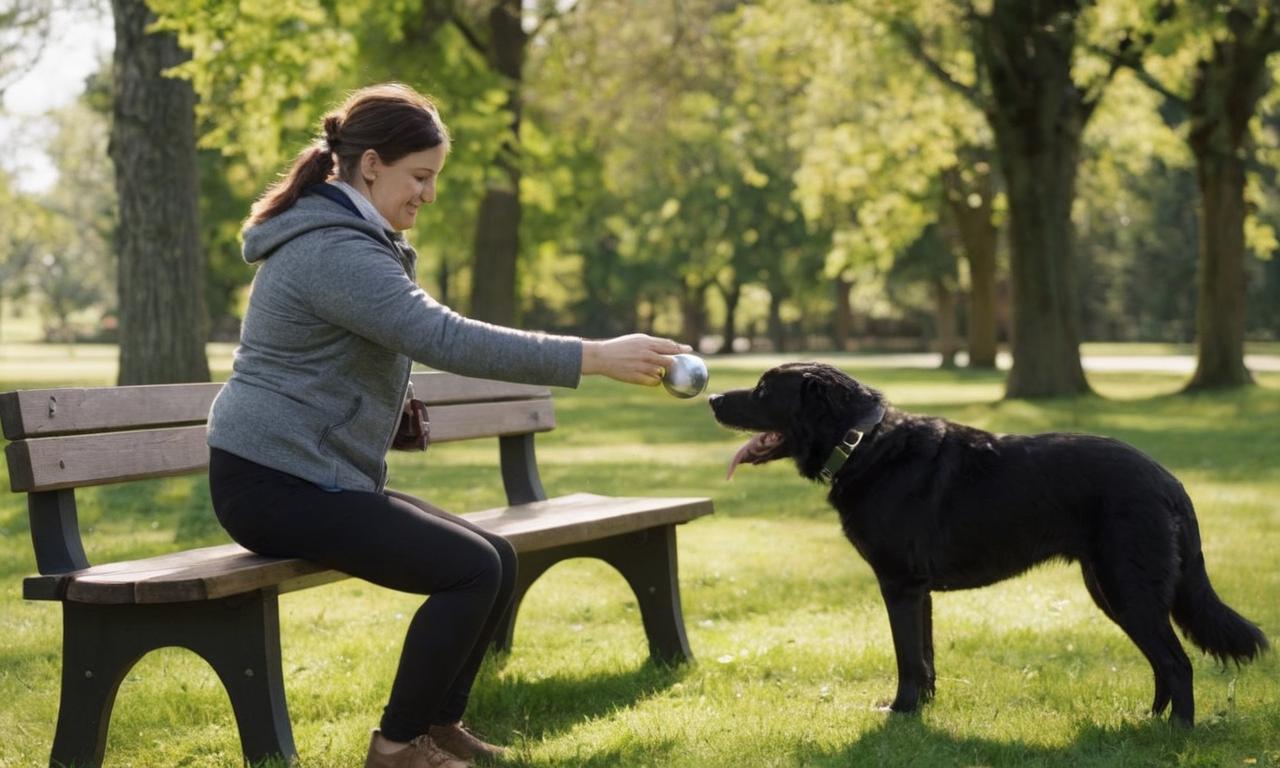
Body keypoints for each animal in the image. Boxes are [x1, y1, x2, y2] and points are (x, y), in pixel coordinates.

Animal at [711, 363, 1269, 721]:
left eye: (763, 391)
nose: (713, 398)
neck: (862, 444)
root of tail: (1168, 480)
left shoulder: (900, 585)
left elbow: (908, 659)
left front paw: (901, 712)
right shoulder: (919, 593)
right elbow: (926, 658)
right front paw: (922, 714)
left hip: (1127, 590)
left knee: (1177, 663)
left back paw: (1177, 732)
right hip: (1111, 592)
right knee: (1162, 664)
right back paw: (1148, 721)